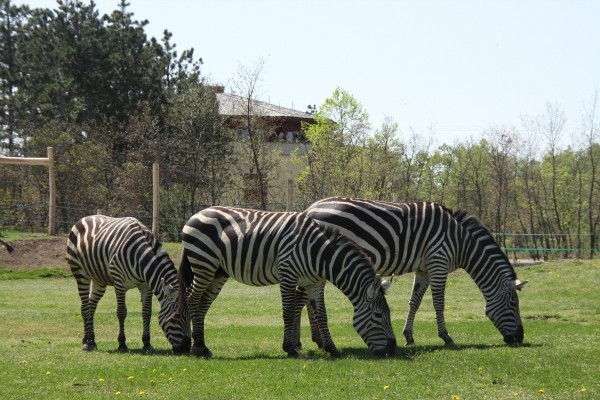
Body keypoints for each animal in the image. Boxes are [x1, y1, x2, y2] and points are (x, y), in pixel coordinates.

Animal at [67, 216, 191, 354]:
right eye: (175, 318)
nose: (186, 348)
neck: (141, 258)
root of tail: (86, 217)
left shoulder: (146, 286)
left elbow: (147, 312)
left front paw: (147, 343)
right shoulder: (119, 283)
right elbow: (121, 312)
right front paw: (122, 344)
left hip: (99, 280)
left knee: (91, 307)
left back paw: (91, 340)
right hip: (80, 273)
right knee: (85, 307)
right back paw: (87, 344)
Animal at [172, 206, 398, 356]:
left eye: (389, 314)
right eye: (379, 315)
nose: (392, 349)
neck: (319, 254)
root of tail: (197, 213)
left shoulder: (315, 284)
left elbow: (322, 315)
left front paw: (331, 348)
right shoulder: (288, 276)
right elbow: (288, 312)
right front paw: (290, 348)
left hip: (218, 272)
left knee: (203, 303)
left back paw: (203, 346)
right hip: (204, 264)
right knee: (192, 298)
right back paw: (197, 348)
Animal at [302, 197, 528, 346]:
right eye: (513, 304)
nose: (519, 338)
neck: (461, 241)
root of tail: (310, 208)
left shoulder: (424, 269)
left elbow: (414, 302)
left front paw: (409, 336)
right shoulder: (439, 262)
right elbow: (439, 302)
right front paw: (446, 337)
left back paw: (317, 340)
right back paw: (319, 340)